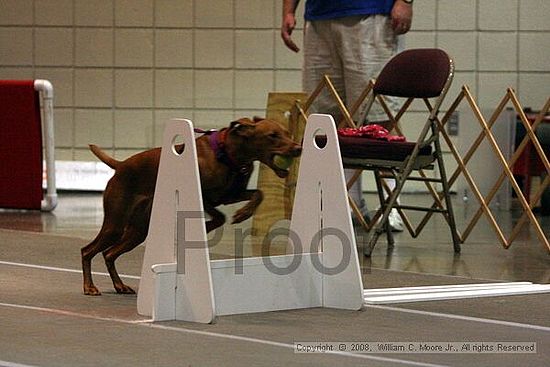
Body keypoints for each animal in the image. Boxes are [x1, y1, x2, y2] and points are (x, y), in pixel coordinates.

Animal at [82, 118, 302, 296]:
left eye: (287, 133)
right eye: (272, 135)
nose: (298, 148)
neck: (229, 154)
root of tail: (120, 165)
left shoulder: (230, 195)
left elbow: (258, 194)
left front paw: (243, 213)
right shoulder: (204, 197)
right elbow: (219, 217)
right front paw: (209, 226)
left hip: (137, 231)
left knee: (109, 254)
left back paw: (119, 286)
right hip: (115, 224)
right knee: (87, 250)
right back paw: (89, 287)